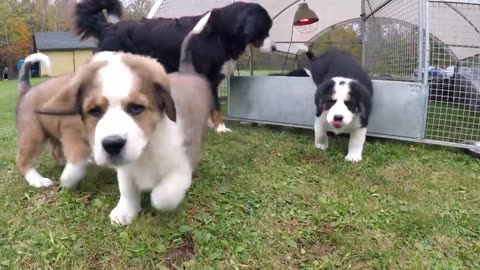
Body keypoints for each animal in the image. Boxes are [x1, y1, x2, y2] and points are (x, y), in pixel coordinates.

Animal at [15, 52, 91, 188]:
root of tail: (27, 90)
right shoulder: (72, 130)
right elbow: (78, 156)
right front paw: (69, 179)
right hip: (33, 134)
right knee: (22, 160)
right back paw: (38, 180)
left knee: (55, 152)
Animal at [40, 12, 213, 225]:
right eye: (94, 111)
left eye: (136, 108)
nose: (112, 144)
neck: (146, 149)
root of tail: (187, 72)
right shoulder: (125, 170)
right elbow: (127, 189)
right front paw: (126, 211)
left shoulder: (180, 167)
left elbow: (162, 197)